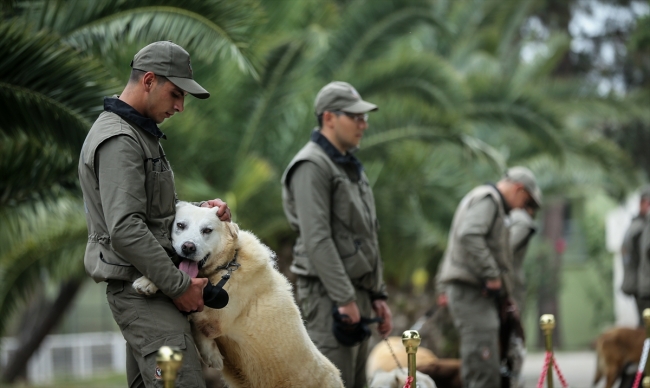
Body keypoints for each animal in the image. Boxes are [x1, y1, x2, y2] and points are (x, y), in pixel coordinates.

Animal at [133, 203, 344, 388]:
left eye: (207, 230)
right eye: (180, 225)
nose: (188, 247)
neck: (227, 265)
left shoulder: (214, 318)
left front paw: (211, 354)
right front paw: (147, 282)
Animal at [280, 80, 392, 386]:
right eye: (356, 116)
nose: (365, 123)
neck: (336, 153)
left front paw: (382, 306)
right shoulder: (309, 175)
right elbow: (320, 235)